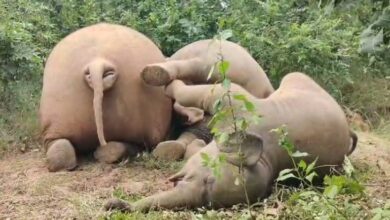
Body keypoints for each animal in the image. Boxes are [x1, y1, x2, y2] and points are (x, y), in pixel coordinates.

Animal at [105, 72, 358, 211]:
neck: (266, 158)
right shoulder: (236, 104)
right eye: (207, 178)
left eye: (207, 192)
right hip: (297, 79)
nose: (116, 205)